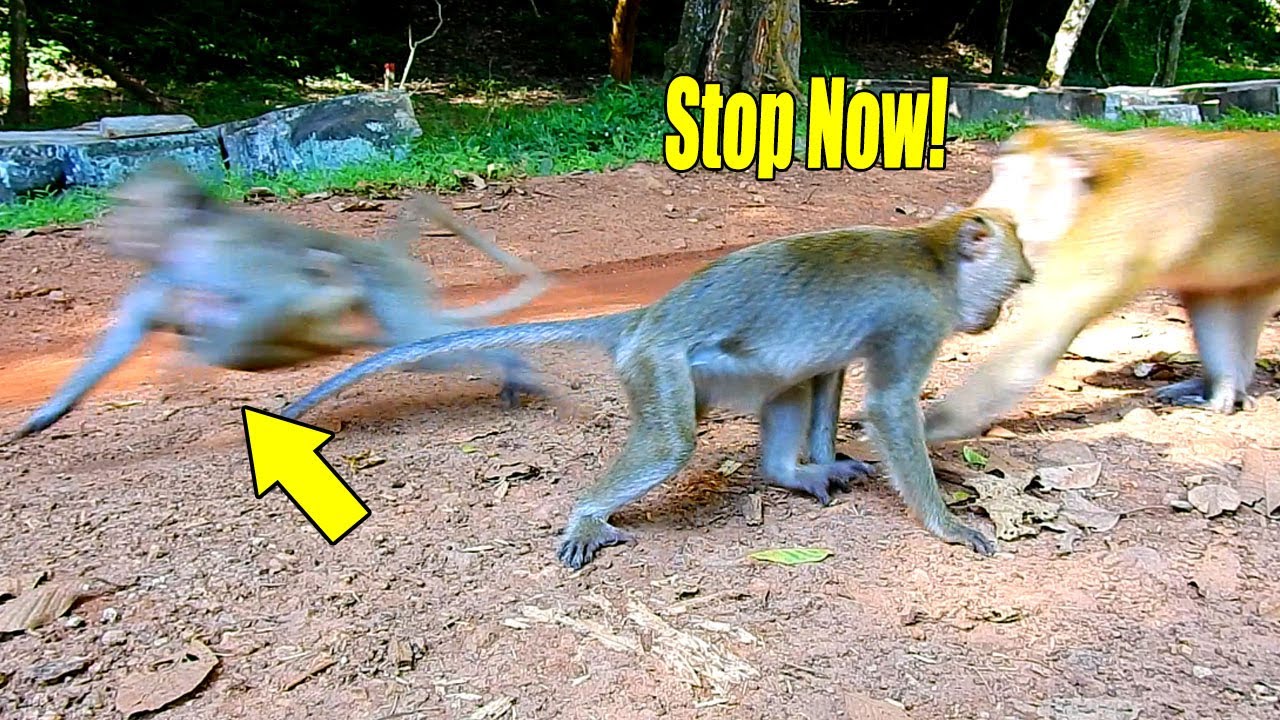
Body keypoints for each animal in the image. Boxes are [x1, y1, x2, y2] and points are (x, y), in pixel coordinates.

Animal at [3, 161, 549, 443]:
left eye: (128, 206)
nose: (107, 233)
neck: (185, 239)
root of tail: (385, 255)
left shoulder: (227, 254)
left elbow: (273, 297)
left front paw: (189, 361)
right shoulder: (161, 275)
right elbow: (126, 336)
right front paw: (46, 414)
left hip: (385, 289)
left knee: (416, 344)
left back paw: (509, 364)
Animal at [280, 208, 1035, 569]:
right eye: (1015, 284)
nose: (995, 316)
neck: (934, 255)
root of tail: (647, 316)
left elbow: (829, 371)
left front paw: (822, 463)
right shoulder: (917, 318)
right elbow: (886, 405)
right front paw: (948, 526)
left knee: (787, 376)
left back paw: (785, 472)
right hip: (657, 361)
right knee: (673, 440)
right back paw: (588, 513)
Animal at [923, 121, 1280, 444]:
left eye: (1021, 179)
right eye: (1000, 174)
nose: (985, 207)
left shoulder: (1114, 231)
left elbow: (1038, 340)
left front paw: (932, 427)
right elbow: (1207, 298)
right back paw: (1226, 388)